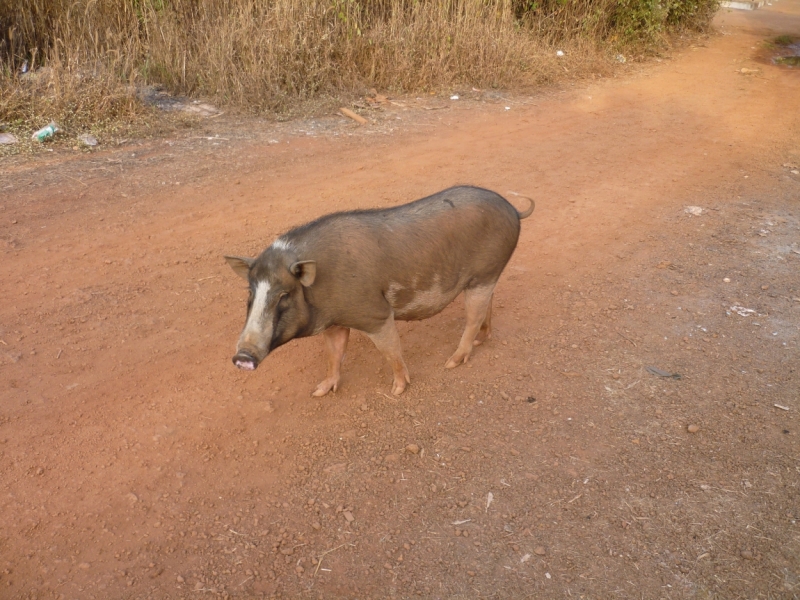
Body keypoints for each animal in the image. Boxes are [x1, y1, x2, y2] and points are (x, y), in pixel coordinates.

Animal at [225, 185, 536, 396]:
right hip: (484, 277)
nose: (242, 357)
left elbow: (391, 350)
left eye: (283, 295)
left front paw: (397, 390)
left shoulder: (374, 314)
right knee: (487, 306)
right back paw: (482, 340)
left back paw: (452, 363)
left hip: (484, 275)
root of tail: (513, 209)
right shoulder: (335, 322)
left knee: (472, 318)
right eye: (250, 294)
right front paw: (319, 391)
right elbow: (334, 355)